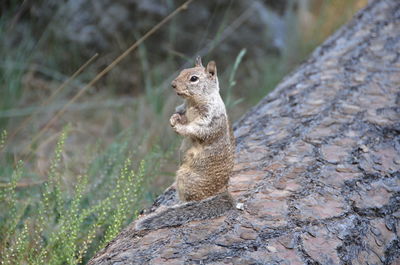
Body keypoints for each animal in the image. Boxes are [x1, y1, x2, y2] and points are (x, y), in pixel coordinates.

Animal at [135, 56, 234, 230]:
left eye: (194, 78)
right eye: (182, 71)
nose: (172, 84)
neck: (192, 102)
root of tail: (221, 191)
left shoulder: (208, 119)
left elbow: (196, 129)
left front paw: (179, 127)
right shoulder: (183, 107)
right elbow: (178, 111)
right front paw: (173, 118)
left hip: (185, 179)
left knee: (191, 199)